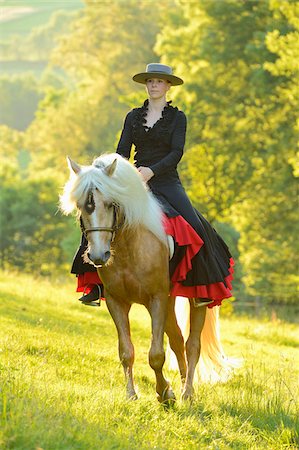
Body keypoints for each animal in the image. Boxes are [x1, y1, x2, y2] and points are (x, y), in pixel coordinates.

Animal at [60, 153, 237, 402]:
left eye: (111, 204)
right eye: (81, 207)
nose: (98, 256)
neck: (128, 246)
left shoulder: (157, 299)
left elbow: (156, 354)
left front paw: (165, 394)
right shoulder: (116, 301)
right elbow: (126, 352)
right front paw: (132, 395)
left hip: (197, 300)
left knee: (192, 345)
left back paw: (188, 393)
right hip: (170, 303)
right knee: (177, 340)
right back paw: (183, 385)